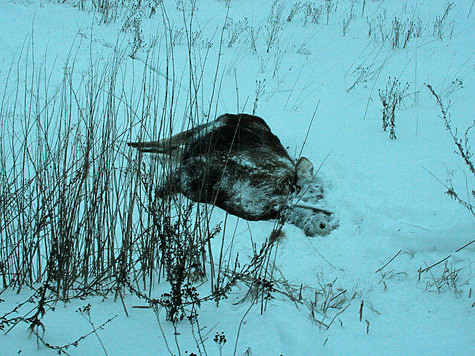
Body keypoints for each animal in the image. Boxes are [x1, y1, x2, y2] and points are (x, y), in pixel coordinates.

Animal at [128, 114, 340, 236]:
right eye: (315, 192)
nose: (325, 226)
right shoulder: (198, 167)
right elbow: (162, 189)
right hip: (197, 130)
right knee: (168, 141)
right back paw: (132, 143)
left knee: (172, 149)